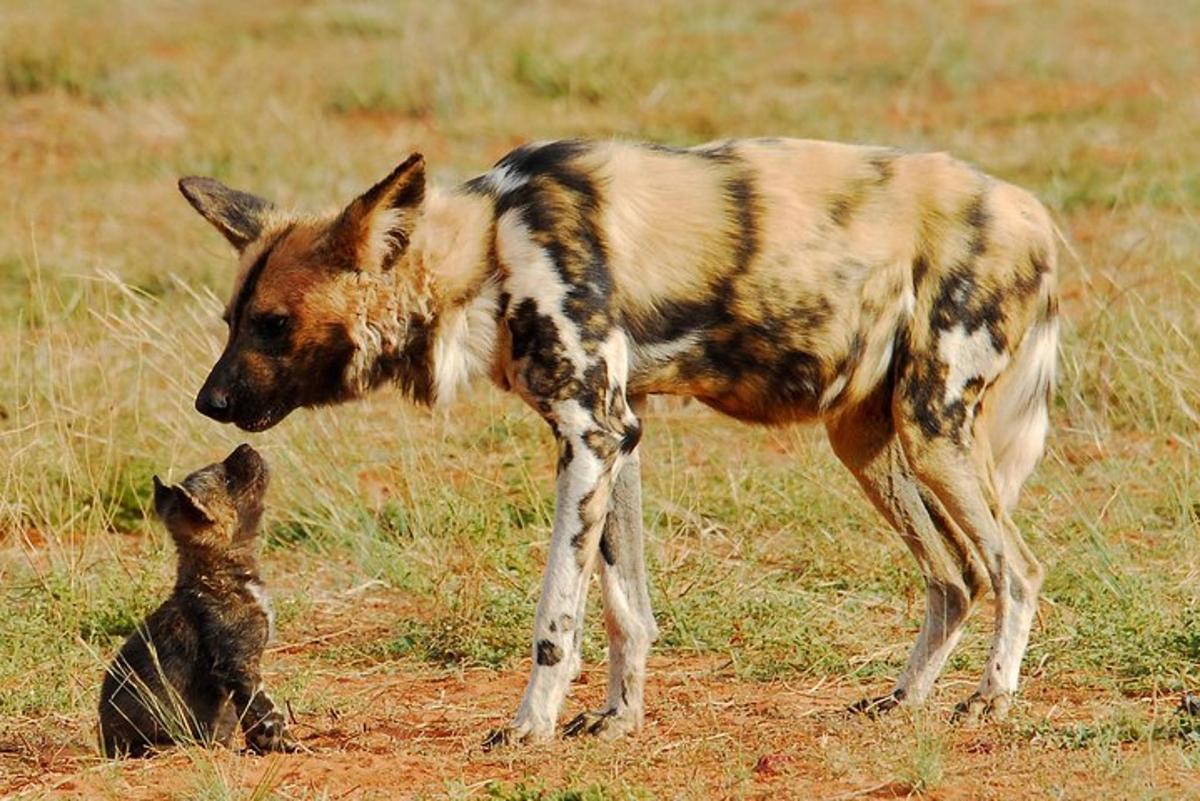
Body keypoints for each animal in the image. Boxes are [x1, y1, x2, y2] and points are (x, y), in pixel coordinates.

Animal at [98, 443, 295, 757]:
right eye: (228, 480)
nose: (244, 446)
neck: (218, 575)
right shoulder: (240, 667)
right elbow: (265, 713)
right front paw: (282, 745)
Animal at [177, 136, 1060, 743]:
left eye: (274, 324)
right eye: (231, 319)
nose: (207, 401)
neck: (489, 252)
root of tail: (1032, 211)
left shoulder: (591, 433)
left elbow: (556, 624)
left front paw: (528, 727)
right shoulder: (618, 435)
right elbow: (624, 610)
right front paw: (618, 719)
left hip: (933, 428)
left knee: (1016, 567)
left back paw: (990, 697)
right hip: (867, 437)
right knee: (954, 576)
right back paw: (905, 698)